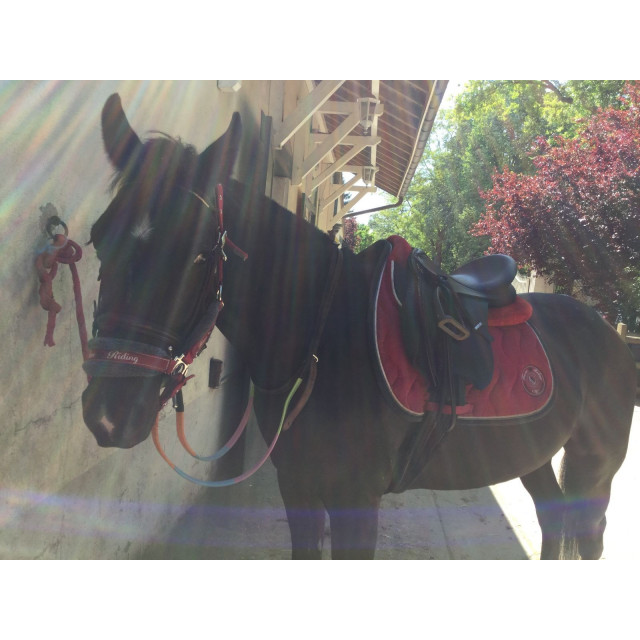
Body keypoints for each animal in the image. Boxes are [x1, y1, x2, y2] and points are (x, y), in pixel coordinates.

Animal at [81, 93, 636, 559]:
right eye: (99, 237)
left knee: (587, 535)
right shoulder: (299, 489)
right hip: (533, 454)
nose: (111, 412)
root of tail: (606, 329)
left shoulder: (355, 499)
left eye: (199, 253)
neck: (322, 338)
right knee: (553, 518)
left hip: (595, 464)